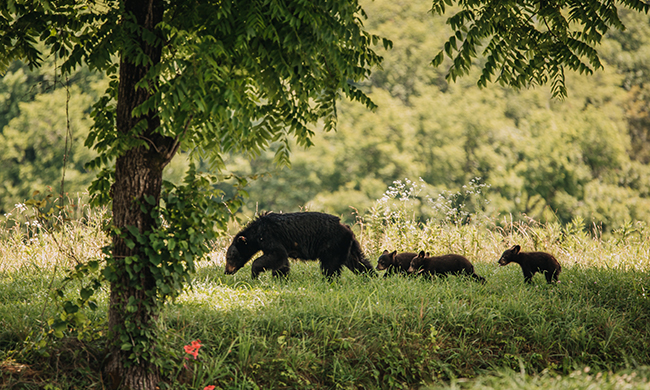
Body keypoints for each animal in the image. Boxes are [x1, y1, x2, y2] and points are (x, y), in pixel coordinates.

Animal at [224, 212, 372, 278]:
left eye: (229, 257)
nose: (226, 271)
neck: (257, 232)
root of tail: (347, 228)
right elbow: (281, 262)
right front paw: (281, 278)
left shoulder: (270, 237)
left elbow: (277, 255)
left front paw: (255, 273)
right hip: (348, 246)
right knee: (359, 261)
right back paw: (370, 275)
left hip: (332, 245)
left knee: (330, 266)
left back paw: (329, 280)